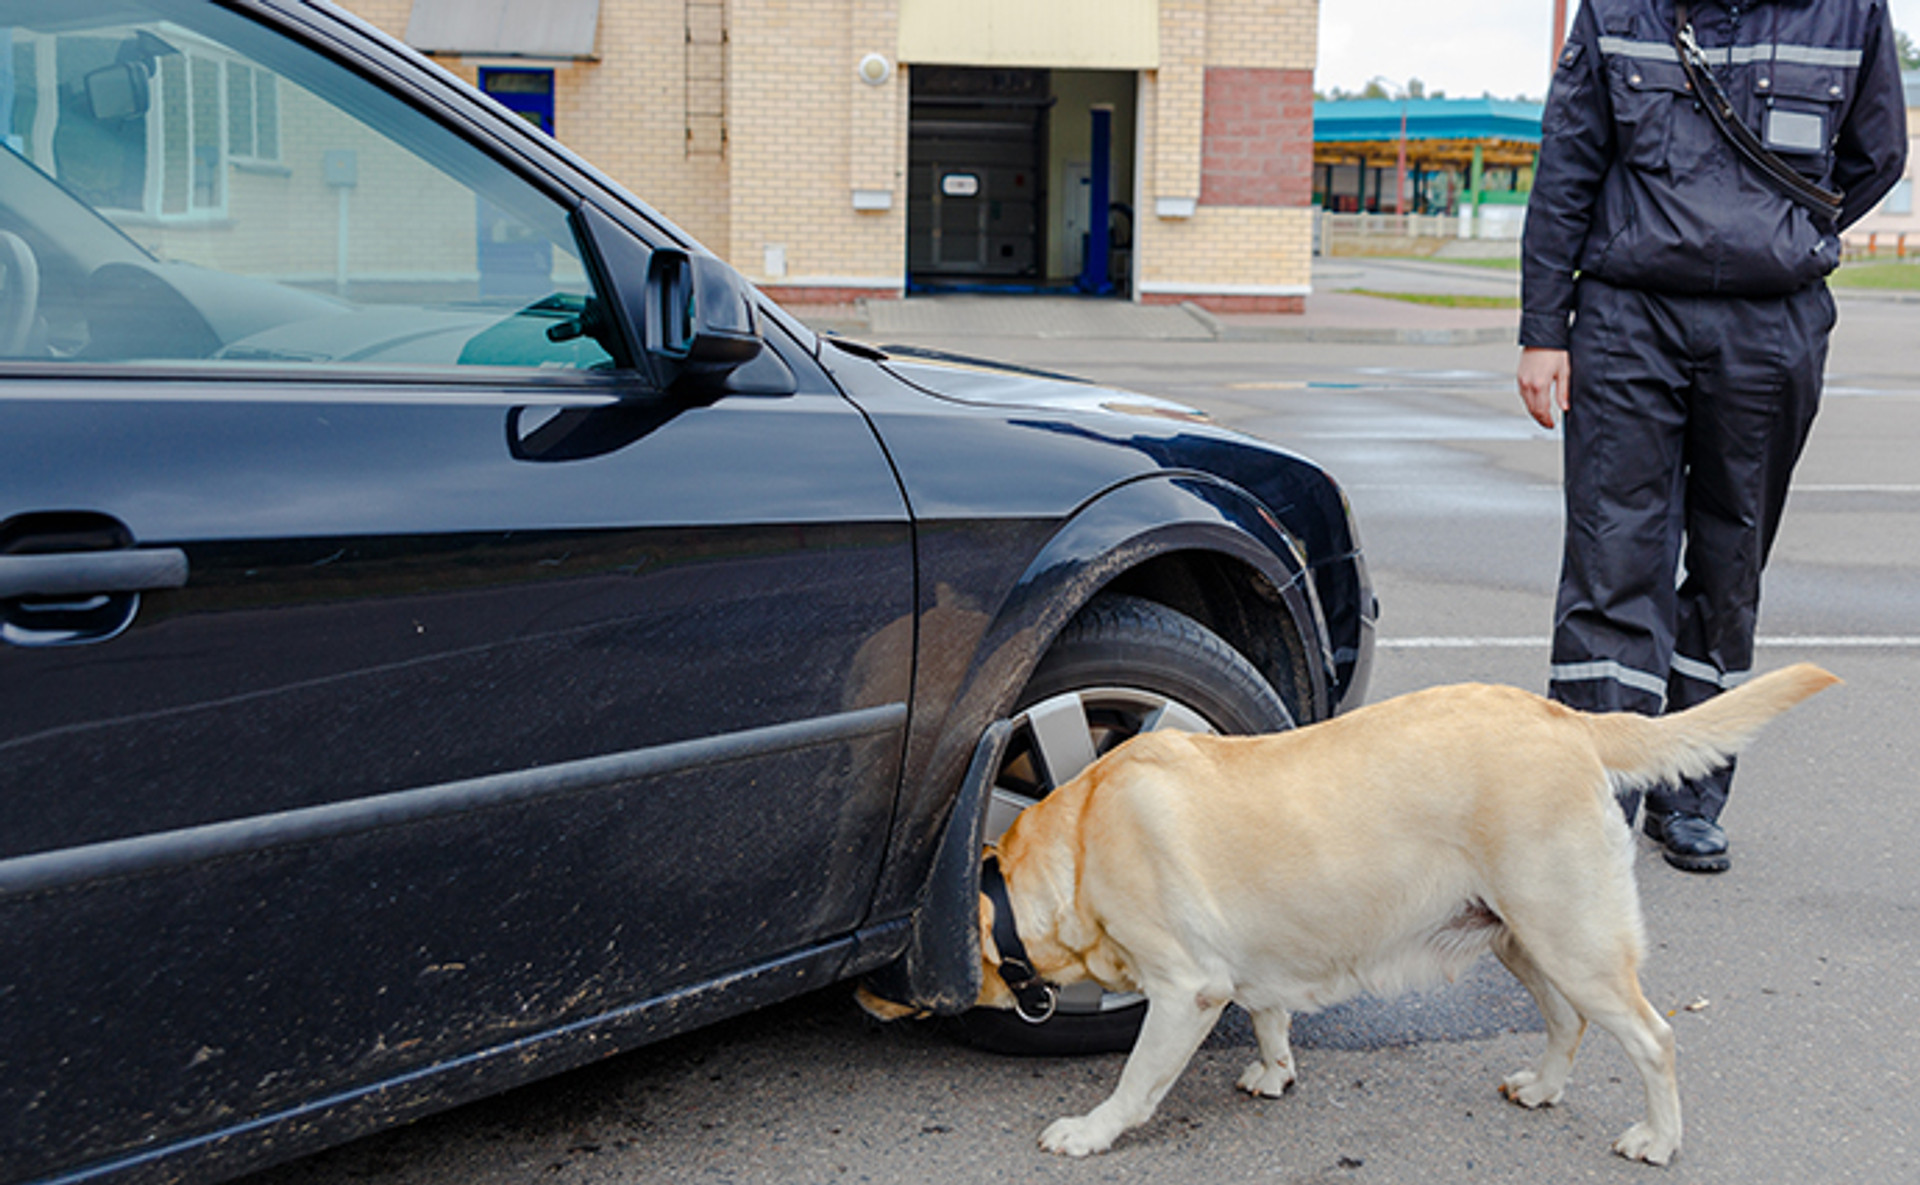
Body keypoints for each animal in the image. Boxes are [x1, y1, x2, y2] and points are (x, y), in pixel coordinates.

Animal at [983, 660, 1835, 1160]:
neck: (1084, 831)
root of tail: (1564, 717)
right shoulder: (1248, 962)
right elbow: (1269, 1013)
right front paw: (1275, 1069)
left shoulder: (1184, 987)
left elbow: (1137, 1081)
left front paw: (1091, 1130)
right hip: (1521, 937)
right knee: (1568, 1020)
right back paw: (1542, 1087)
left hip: (1573, 935)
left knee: (1654, 1036)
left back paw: (1658, 1137)